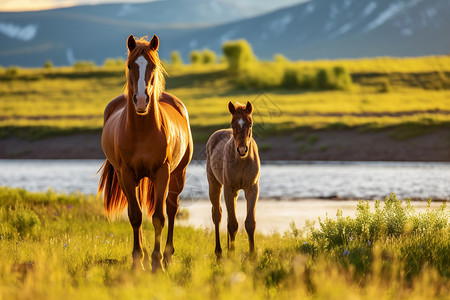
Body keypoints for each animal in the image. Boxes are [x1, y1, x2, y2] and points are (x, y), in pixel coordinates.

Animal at [97, 34, 192, 272]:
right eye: (130, 65)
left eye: (153, 66)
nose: (141, 100)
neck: (142, 131)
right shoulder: (127, 174)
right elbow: (135, 216)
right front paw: (137, 261)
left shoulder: (162, 172)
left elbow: (159, 217)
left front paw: (157, 264)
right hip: (128, 178)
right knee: (138, 210)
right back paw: (146, 256)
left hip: (178, 174)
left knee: (172, 208)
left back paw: (167, 257)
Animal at [205, 102, 258, 258]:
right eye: (233, 125)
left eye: (250, 124)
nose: (242, 150)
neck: (242, 161)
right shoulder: (229, 189)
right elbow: (233, 225)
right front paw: (232, 256)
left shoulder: (252, 189)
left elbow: (250, 223)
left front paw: (253, 255)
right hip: (215, 184)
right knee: (217, 215)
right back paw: (219, 252)